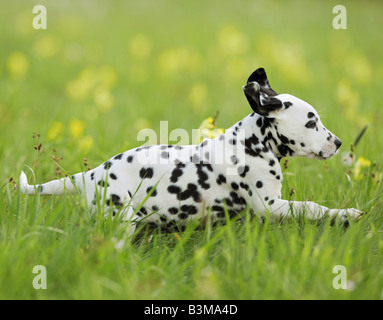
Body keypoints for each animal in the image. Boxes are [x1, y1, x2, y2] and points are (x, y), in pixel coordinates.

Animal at [18, 67, 366, 234]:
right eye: (312, 122)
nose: (337, 143)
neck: (252, 144)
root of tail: (91, 175)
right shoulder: (270, 205)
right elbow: (312, 207)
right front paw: (346, 214)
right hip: (119, 220)